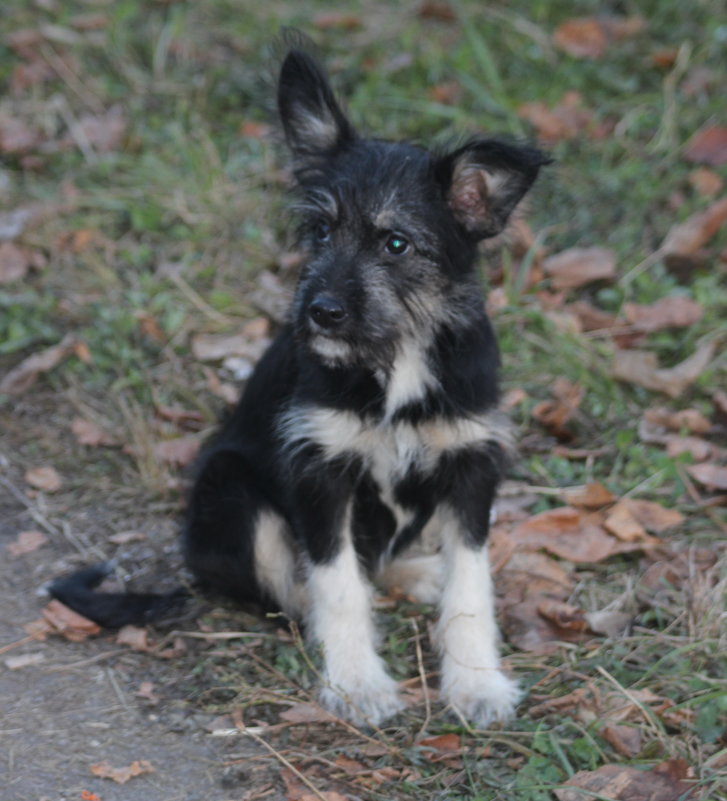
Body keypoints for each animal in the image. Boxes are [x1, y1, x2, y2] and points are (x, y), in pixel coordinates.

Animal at [52, 47, 544, 728]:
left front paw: (476, 683)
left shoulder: (471, 465)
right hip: (230, 489)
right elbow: (337, 586)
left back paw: (422, 574)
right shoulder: (319, 471)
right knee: (299, 590)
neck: (396, 357)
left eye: (396, 244)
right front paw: (357, 682)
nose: (321, 312)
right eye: (320, 232)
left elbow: (472, 585)